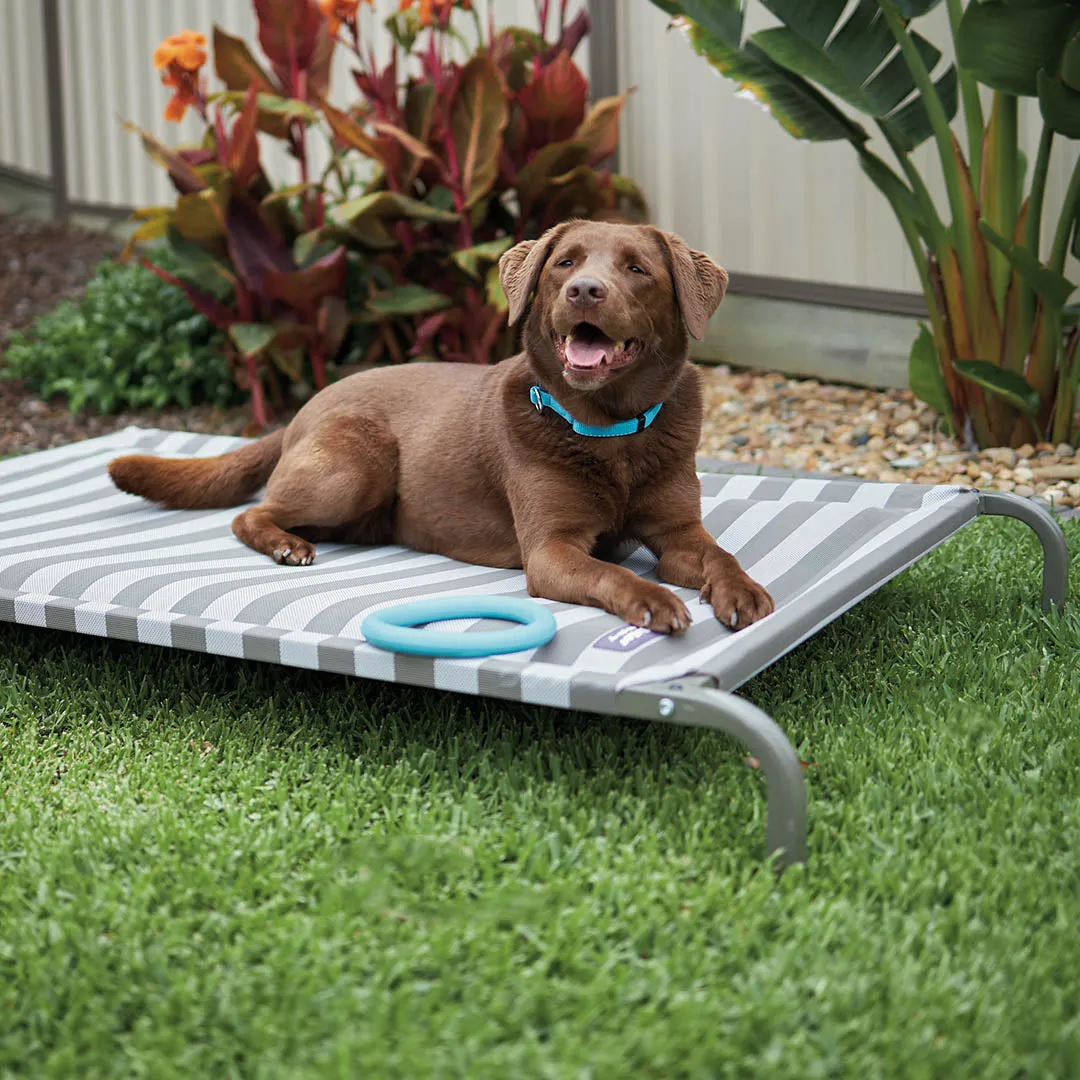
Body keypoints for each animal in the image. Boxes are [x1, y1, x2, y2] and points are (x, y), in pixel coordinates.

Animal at [109, 219, 773, 630]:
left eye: (637, 270)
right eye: (565, 264)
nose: (585, 290)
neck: (614, 433)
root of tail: (309, 404)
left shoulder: (678, 532)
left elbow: (718, 556)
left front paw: (741, 590)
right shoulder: (551, 551)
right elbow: (608, 572)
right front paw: (651, 599)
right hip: (358, 464)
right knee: (250, 513)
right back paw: (285, 544)